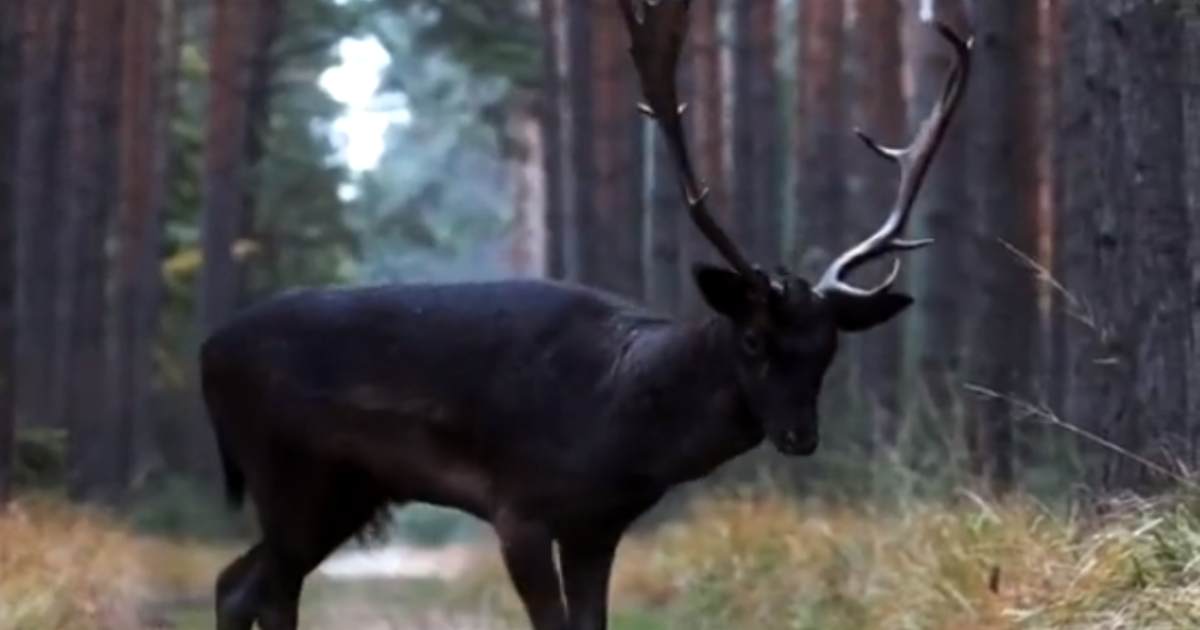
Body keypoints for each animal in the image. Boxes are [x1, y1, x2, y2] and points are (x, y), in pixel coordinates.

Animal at [201, 2, 969, 624]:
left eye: (828, 345)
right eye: (753, 338)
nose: (799, 436)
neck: (618, 426)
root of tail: (208, 354)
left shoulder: (598, 526)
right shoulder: (519, 508)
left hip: (346, 493)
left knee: (244, 583)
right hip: (286, 472)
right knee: (259, 589)